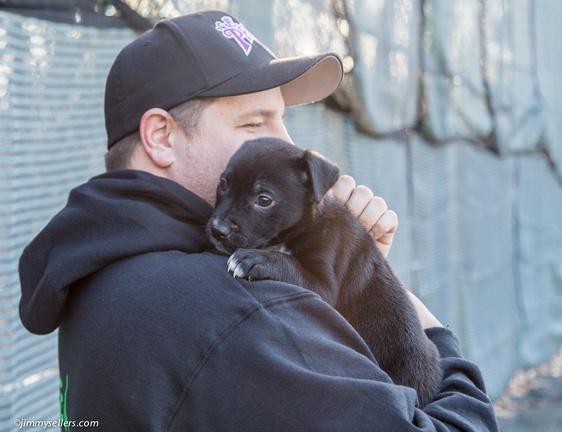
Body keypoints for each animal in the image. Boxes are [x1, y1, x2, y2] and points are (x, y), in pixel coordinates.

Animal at [208, 137, 440, 406]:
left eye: (264, 200)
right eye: (223, 184)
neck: (301, 227)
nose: (217, 230)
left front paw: (252, 259)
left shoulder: (325, 284)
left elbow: (289, 264)